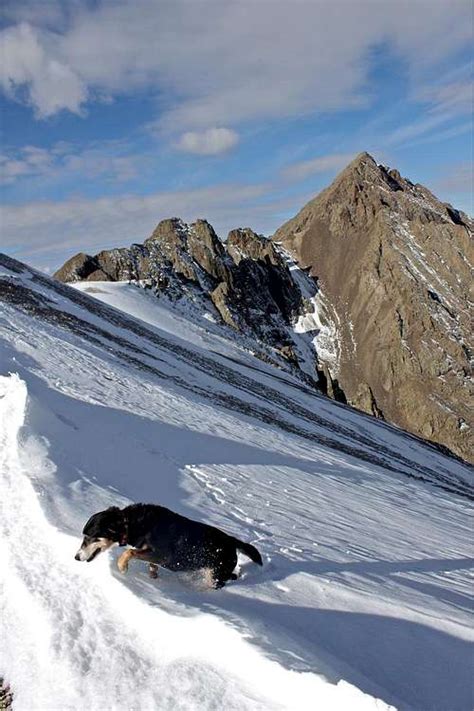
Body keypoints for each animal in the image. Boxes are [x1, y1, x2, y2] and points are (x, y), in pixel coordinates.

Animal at [74, 500, 262, 588]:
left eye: (89, 537)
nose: (76, 557)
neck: (132, 524)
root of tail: (232, 540)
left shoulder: (162, 555)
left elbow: (129, 552)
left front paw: (122, 567)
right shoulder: (154, 557)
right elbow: (149, 564)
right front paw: (153, 577)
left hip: (215, 574)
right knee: (231, 576)